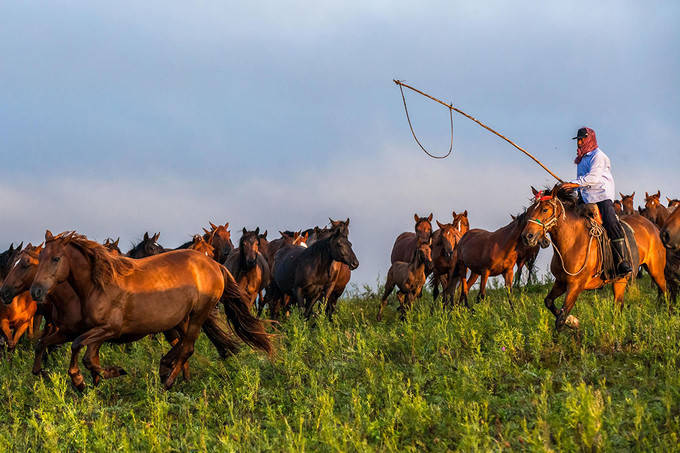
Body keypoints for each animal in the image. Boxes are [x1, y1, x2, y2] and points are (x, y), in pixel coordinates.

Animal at [30, 231, 272, 390]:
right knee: (183, 344)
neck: (99, 284)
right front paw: (45, 373)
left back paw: (168, 381)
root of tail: (215, 265)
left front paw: (85, 379)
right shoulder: (86, 331)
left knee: (187, 348)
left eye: (56, 258)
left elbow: (81, 350)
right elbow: (56, 346)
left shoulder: (108, 329)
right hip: (181, 319)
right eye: (39, 258)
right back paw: (168, 369)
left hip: (198, 315)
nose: (35, 291)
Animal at [520, 184, 664, 328]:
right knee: (619, 306)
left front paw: (571, 323)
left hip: (654, 270)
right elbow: (549, 301)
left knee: (664, 290)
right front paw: (572, 321)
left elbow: (560, 319)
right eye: (530, 210)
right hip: (620, 280)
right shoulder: (561, 282)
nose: (527, 236)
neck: (573, 242)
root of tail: (653, 227)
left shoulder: (575, 286)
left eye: (545, 209)